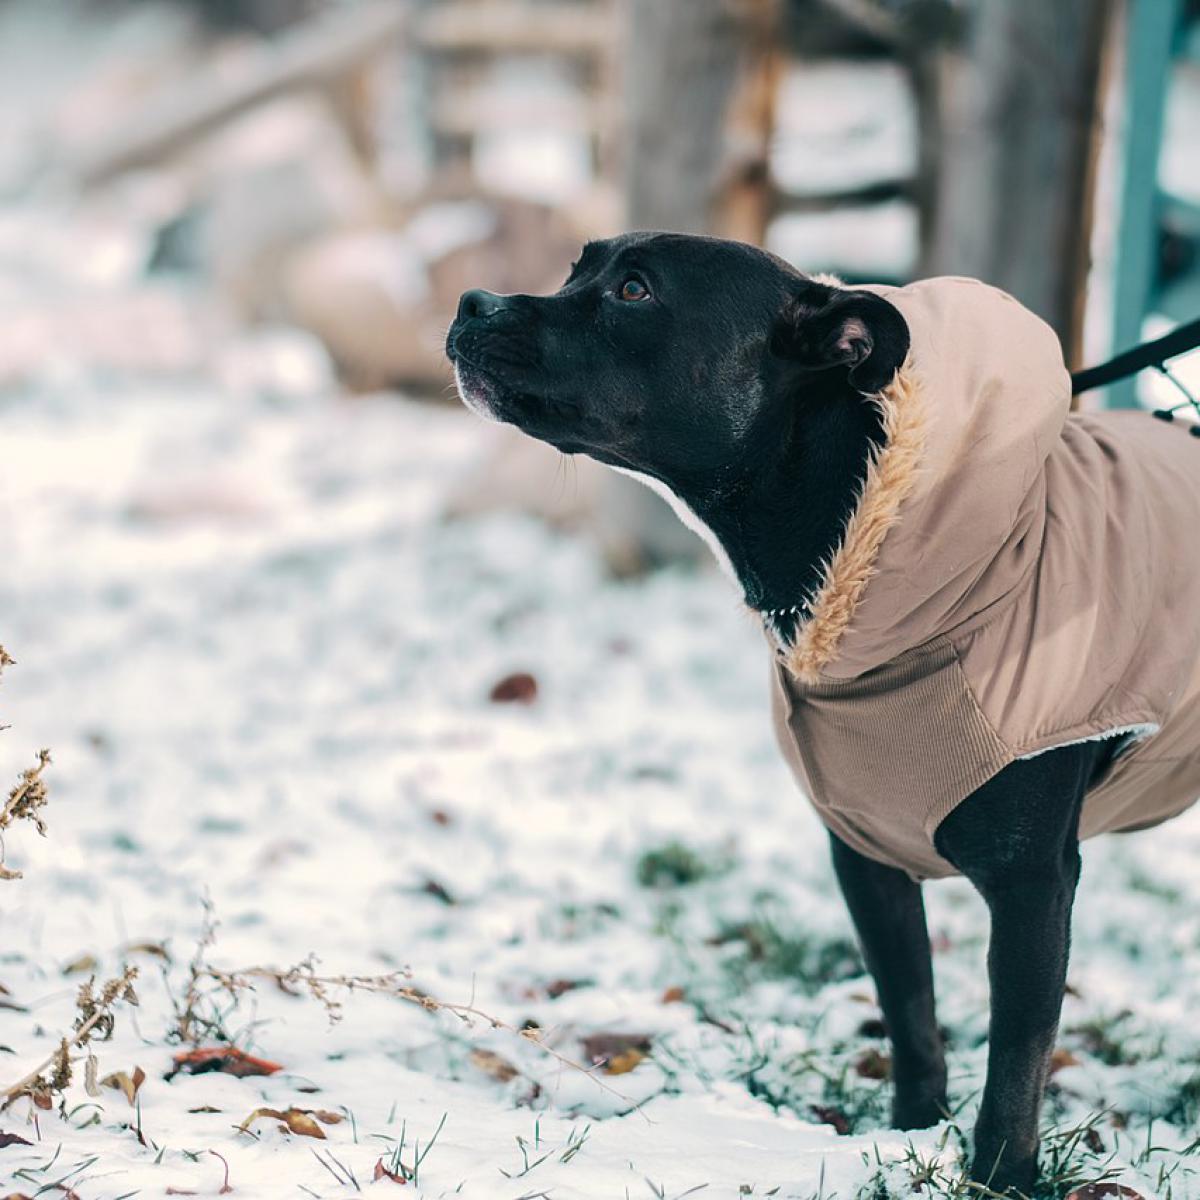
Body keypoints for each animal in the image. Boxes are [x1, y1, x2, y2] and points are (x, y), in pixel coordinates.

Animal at [446, 231, 1118, 1190]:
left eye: (634, 290)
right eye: (581, 267)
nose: (474, 303)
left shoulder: (1032, 884)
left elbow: (1017, 1065)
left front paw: (998, 1181)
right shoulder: (867, 858)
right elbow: (912, 1016)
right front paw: (910, 1137)